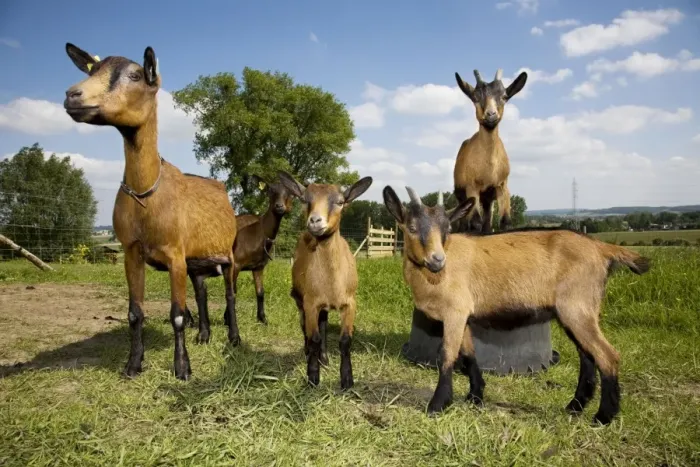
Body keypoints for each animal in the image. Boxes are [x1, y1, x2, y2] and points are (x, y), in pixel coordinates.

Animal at [63, 43, 240, 380]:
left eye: (135, 75)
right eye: (92, 70)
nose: (72, 95)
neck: (146, 197)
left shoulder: (175, 254)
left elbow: (178, 315)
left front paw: (182, 368)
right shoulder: (132, 251)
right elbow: (135, 313)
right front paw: (133, 365)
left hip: (228, 254)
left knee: (229, 294)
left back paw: (234, 338)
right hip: (196, 261)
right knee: (201, 293)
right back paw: (204, 335)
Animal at [190, 175, 295, 326]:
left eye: (291, 193)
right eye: (270, 190)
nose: (279, 206)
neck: (258, 232)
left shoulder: (258, 267)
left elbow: (260, 292)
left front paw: (263, 319)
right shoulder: (236, 264)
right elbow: (233, 290)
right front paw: (228, 319)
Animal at [278, 170, 373, 390]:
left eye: (340, 201)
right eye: (305, 200)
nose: (315, 221)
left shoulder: (350, 303)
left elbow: (345, 340)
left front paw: (347, 379)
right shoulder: (310, 302)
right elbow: (313, 337)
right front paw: (313, 376)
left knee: (323, 324)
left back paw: (325, 358)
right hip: (300, 299)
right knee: (305, 326)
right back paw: (309, 355)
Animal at [382, 185, 650, 425]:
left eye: (447, 229)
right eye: (412, 228)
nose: (437, 260)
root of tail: (601, 248)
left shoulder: (455, 312)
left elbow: (447, 354)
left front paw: (438, 404)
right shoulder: (464, 316)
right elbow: (469, 355)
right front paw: (475, 396)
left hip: (577, 308)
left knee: (607, 355)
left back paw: (603, 417)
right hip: (576, 313)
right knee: (587, 357)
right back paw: (575, 407)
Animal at [453, 68, 527, 233]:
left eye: (504, 96)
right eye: (475, 97)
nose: (491, 115)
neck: (489, 168)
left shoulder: (502, 186)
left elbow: (505, 222)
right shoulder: (471, 187)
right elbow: (475, 223)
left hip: (487, 198)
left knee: (487, 222)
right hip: (462, 195)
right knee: (464, 224)